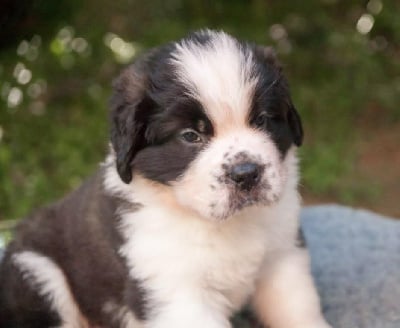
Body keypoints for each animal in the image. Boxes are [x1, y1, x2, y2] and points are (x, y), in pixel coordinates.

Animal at [0, 29, 332, 326]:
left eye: (262, 120)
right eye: (190, 135)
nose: (246, 173)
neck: (221, 224)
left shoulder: (283, 255)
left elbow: (298, 309)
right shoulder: (175, 291)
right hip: (36, 271)